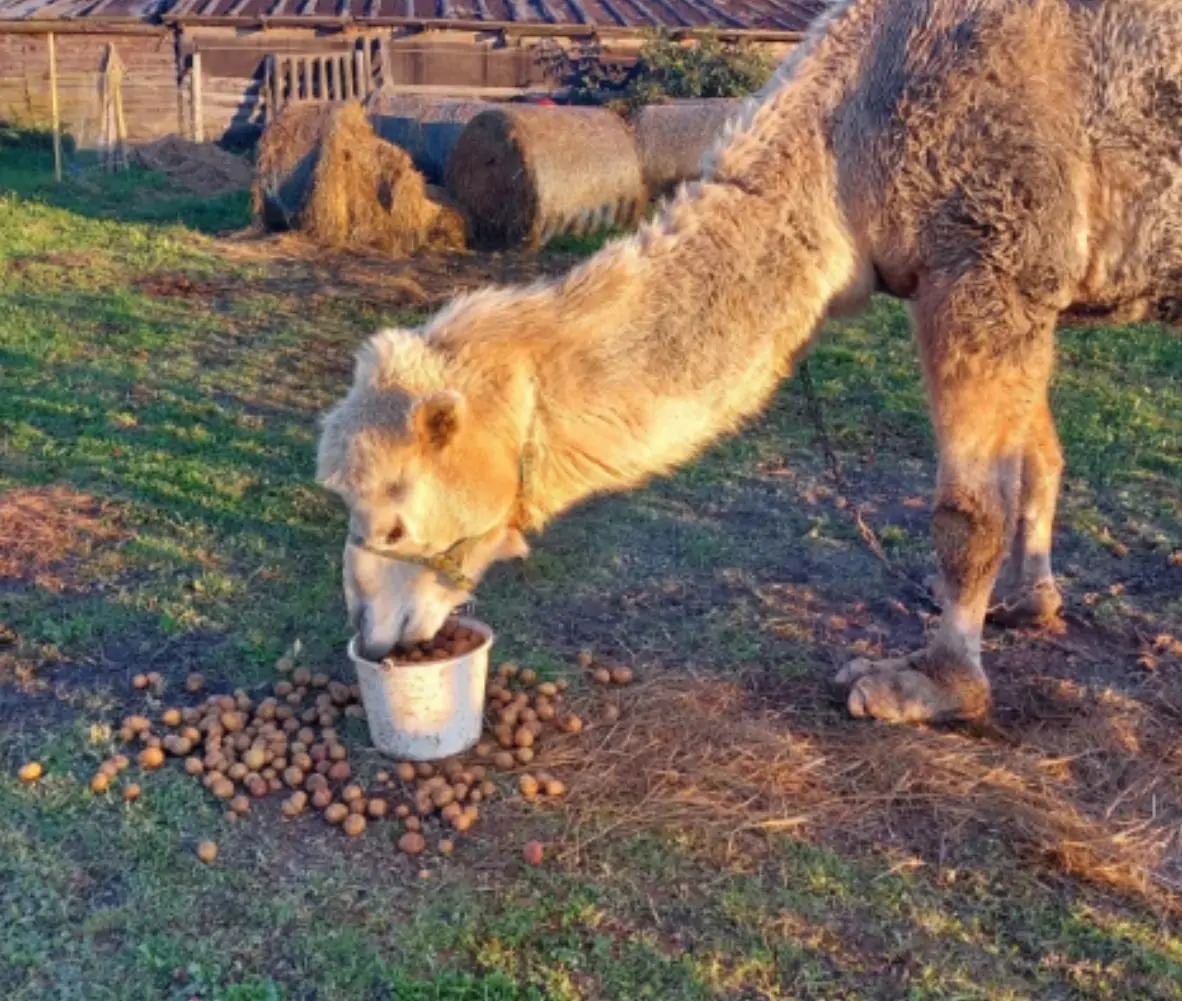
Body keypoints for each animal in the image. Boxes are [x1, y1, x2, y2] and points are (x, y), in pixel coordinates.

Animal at [317, 0, 1182, 725]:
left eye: (393, 521)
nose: (368, 630)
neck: (845, 143)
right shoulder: (1021, 286)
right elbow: (1039, 456)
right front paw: (1034, 601)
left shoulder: (986, 255)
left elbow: (966, 514)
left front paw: (932, 686)